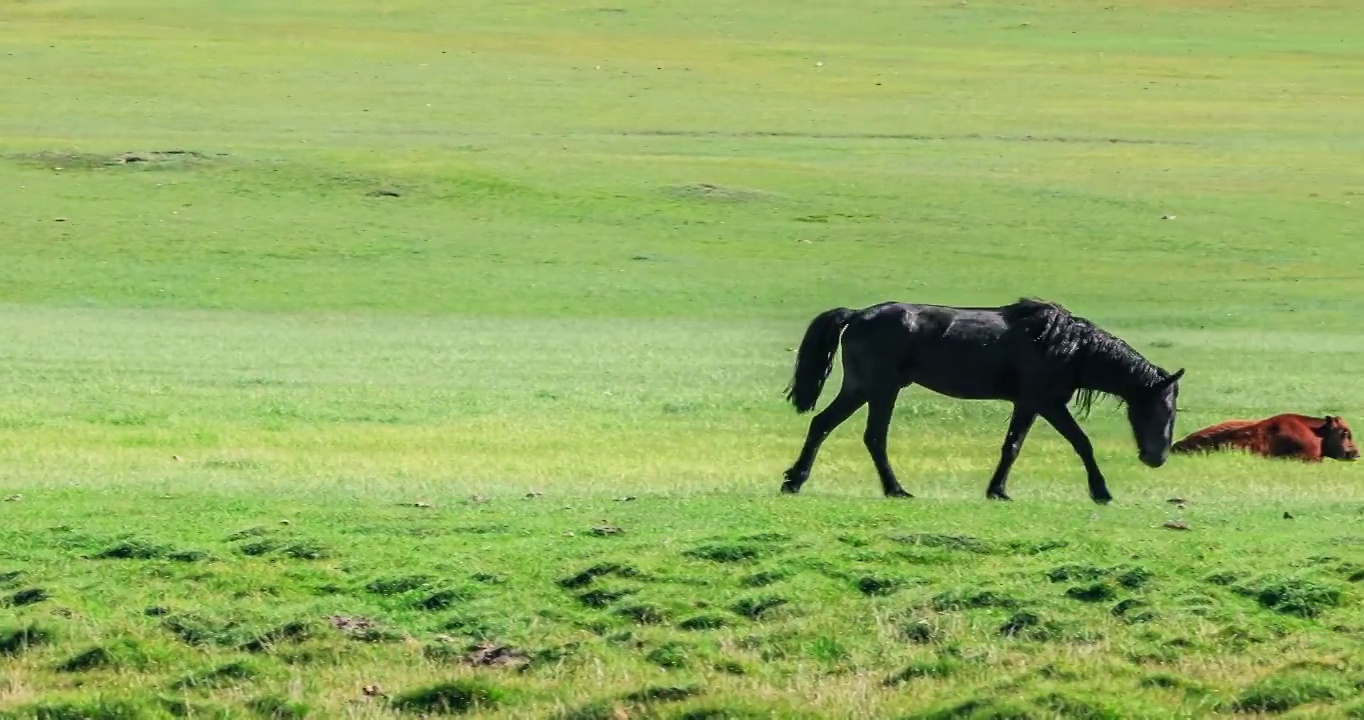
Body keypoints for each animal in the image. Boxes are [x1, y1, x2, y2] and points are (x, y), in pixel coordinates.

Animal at [785, 295, 1189, 504]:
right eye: (1165, 408)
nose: (1157, 458)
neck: (1069, 348)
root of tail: (857, 314)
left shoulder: (1028, 404)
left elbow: (1012, 446)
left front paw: (997, 490)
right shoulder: (1045, 403)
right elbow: (1080, 443)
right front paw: (1101, 491)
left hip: (859, 388)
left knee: (821, 424)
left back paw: (794, 480)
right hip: (881, 390)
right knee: (873, 437)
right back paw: (896, 489)